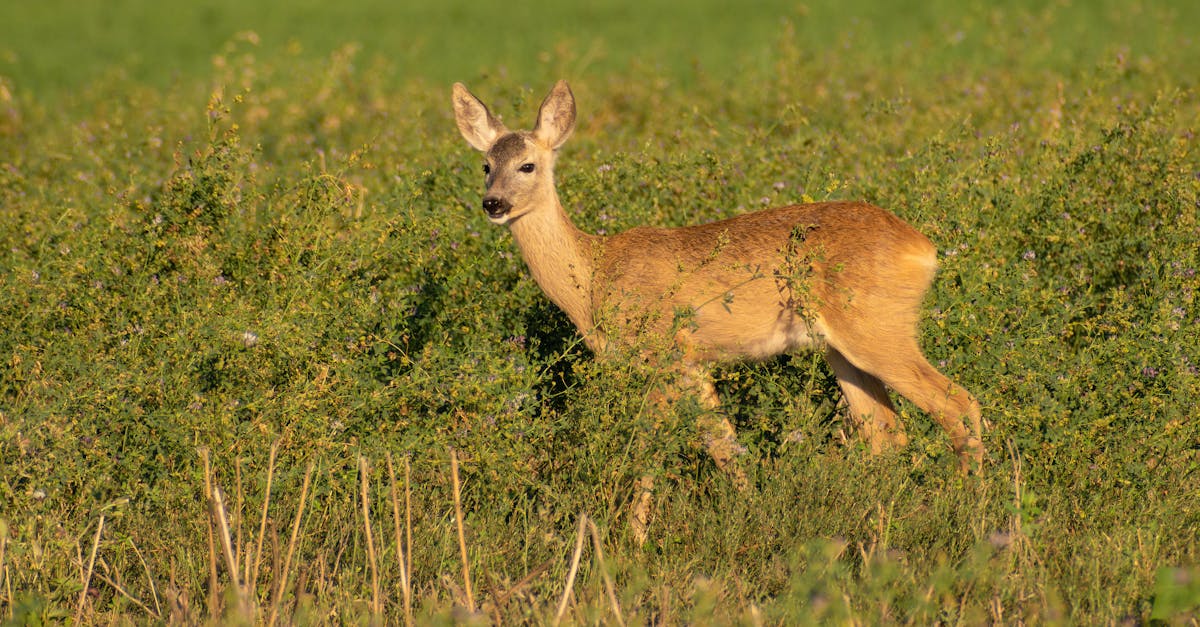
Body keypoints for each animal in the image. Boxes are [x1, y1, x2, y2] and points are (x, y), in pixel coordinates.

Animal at [452, 80, 984, 537]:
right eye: (485, 165)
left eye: (528, 165)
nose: (493, 203)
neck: (594, 278)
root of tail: (925, 249)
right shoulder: (694, 363)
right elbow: (723, 442)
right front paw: (755, 512)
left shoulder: (664, 354)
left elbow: (651, 442)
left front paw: (632, 539)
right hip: (842, 349)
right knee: (886, 432)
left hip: (877, 330)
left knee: (957, 404)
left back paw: (966, 511)